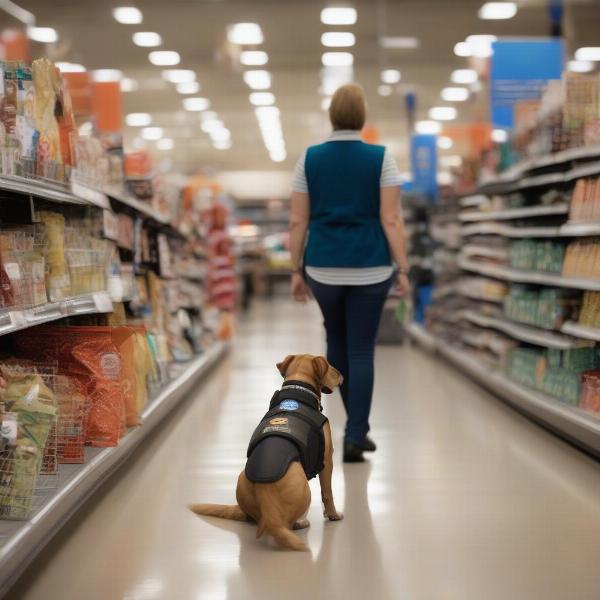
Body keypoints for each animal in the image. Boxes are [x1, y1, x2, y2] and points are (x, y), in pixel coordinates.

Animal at [190, 354, 344, 552]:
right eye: (330, 366)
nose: (341, 374)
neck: (299, 388)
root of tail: (269, 513)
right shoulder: (326, 460)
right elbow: (327, 493)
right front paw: (333, 514)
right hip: (305, 488)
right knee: (290, 524)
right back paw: (301, 522)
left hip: (243, 479)